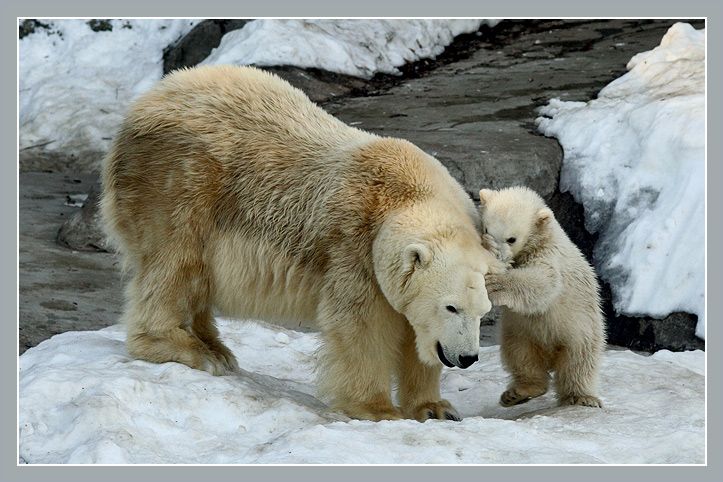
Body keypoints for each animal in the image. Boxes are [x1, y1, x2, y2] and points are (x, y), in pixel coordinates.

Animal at [100, 65, 504, 422]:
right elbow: (362, 326)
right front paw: (377, 410)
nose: (468, 358)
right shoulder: (355, 246)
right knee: (177, 262)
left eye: (483, 312)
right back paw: (189, 349)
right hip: (181, 180)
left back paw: (215, 347)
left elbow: (414, 336)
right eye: (451, 306)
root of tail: (147, 100)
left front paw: (436, 408)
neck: (406, 192)